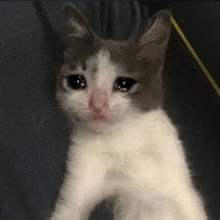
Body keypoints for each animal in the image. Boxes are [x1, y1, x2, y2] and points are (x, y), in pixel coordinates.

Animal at [49, 3, 209, 220]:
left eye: (124, 83)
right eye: (77, 81)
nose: (97, 104)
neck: (120, 140)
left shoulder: (182, 189)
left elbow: (187, 206)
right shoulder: (79, 175)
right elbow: (68, 210)